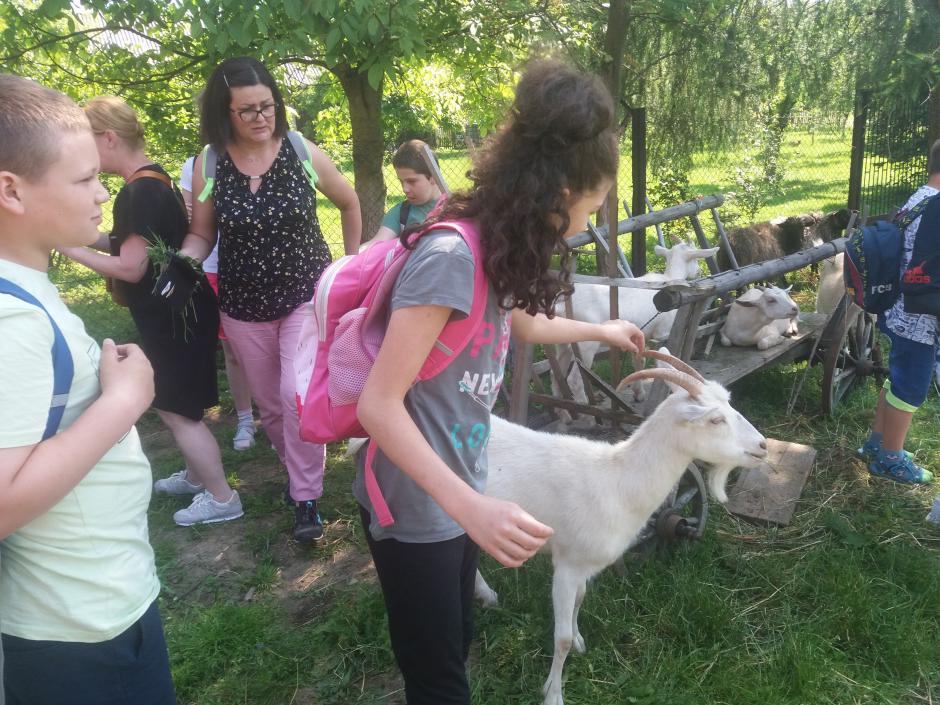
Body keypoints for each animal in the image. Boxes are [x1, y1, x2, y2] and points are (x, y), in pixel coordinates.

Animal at [475, 349, 768, 705]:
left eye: (729, 403)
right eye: (715, 420)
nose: (763, 446)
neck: (616, 480)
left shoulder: (585, 566)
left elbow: (581, 600)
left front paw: (580, 640)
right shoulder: (567, 564)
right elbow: (560, 638)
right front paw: (553, 693)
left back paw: (487, 596)